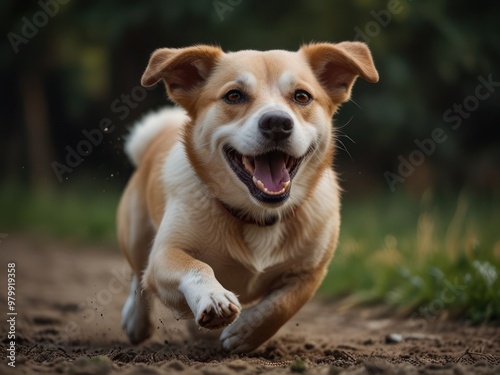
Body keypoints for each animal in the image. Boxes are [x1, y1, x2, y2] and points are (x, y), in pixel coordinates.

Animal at [116, 42, 376, 354]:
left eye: (301, 96)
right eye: (234, 95)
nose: (277, 122)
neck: (257, 215)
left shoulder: (311, 272)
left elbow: (284, 304)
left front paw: (246, 332)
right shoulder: (164, 256)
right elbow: (195, 266)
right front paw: (213, 297)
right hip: (136, 234)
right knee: (137, 276)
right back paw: (136, 320)